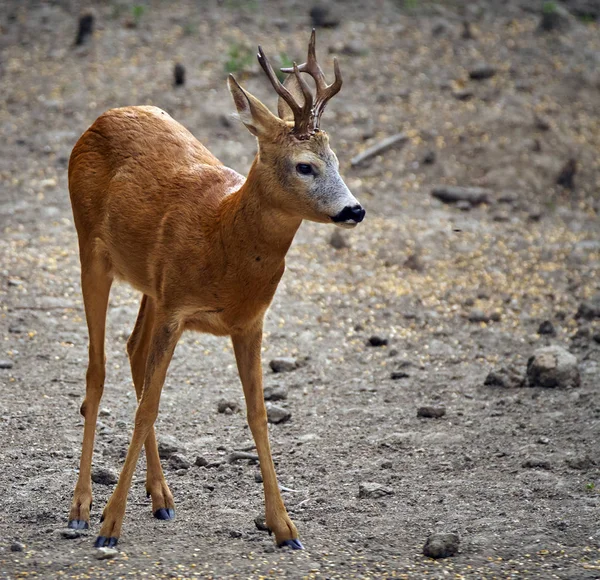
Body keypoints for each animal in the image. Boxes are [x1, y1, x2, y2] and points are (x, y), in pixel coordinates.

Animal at [65, 30, 366, 548]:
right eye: (305, 166)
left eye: (337, 160)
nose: (355, 210)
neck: (221, 236)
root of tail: (101, 118)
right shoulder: (177, 309)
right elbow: (148, 408)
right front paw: (109, 525)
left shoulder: (248, 321)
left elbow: (258, 415)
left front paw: (285, 527)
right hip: (92, 252)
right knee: (97, 371)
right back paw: (81, 509)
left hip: (151, 285)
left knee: (133, 350)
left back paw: (161, 498)